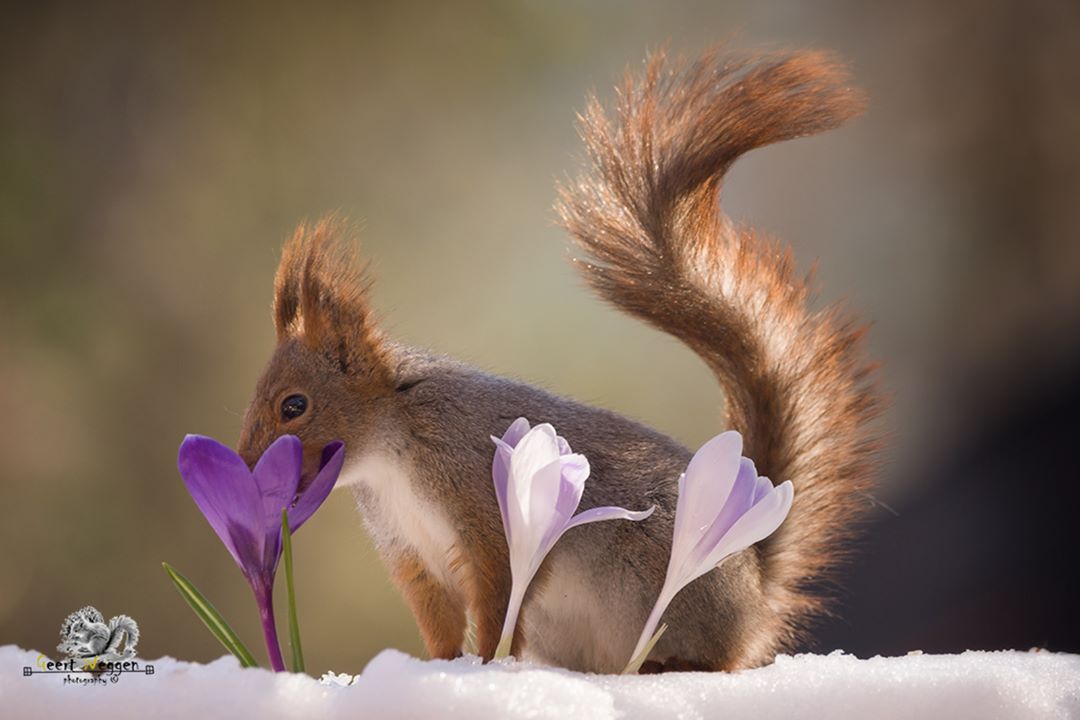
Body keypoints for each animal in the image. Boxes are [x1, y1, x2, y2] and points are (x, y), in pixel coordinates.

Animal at [236, 47, 876, 673]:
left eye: (294, 405)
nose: (244, 465)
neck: (393, 445)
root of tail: (757, 592)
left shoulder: (484, 510)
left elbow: (498, 598)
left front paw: (483, 666)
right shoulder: (410, 552)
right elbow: (437, 619)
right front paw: (436, 665)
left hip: (673, 584)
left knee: (714, 656)